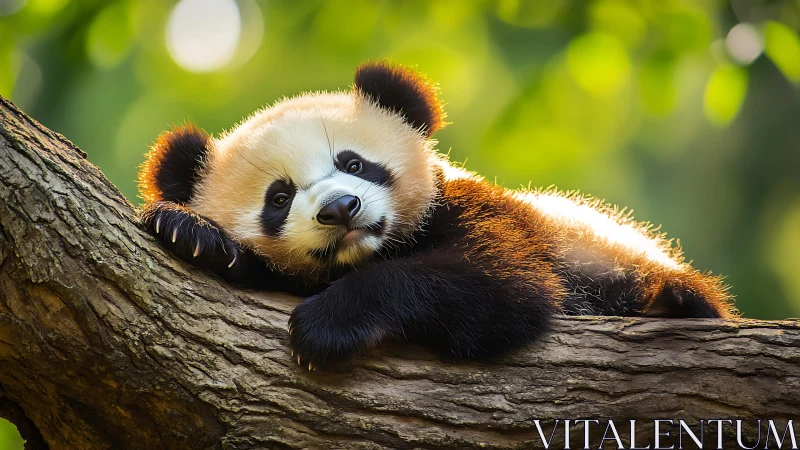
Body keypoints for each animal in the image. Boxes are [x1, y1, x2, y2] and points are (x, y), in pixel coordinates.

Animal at [138, 61, 737, 371]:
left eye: (353, 163)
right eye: (279, 197)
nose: (340, 209)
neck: (364, 256)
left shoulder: (475, 210)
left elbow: (498, 284)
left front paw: (326, 325)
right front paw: (191, 233)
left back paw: (670, 302)